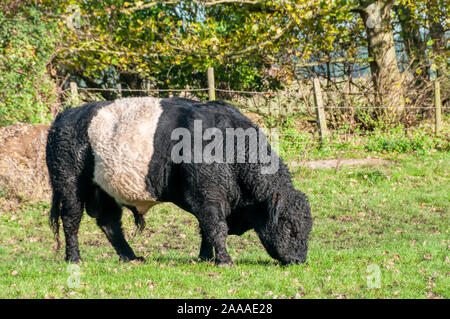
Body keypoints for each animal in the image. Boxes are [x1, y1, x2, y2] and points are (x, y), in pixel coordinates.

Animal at [46, 96, 312, 266]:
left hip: (106, 191)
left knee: (110, 224)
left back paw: (131, 257)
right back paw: (74, 258)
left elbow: (206, 229)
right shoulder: (207, 196)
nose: (299, 259)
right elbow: (216, 227)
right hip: (70, 186)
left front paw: (206, 258)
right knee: (71, 221)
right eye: (289, 226)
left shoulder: (207, 200)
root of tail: (65, 116)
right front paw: (224, 261)